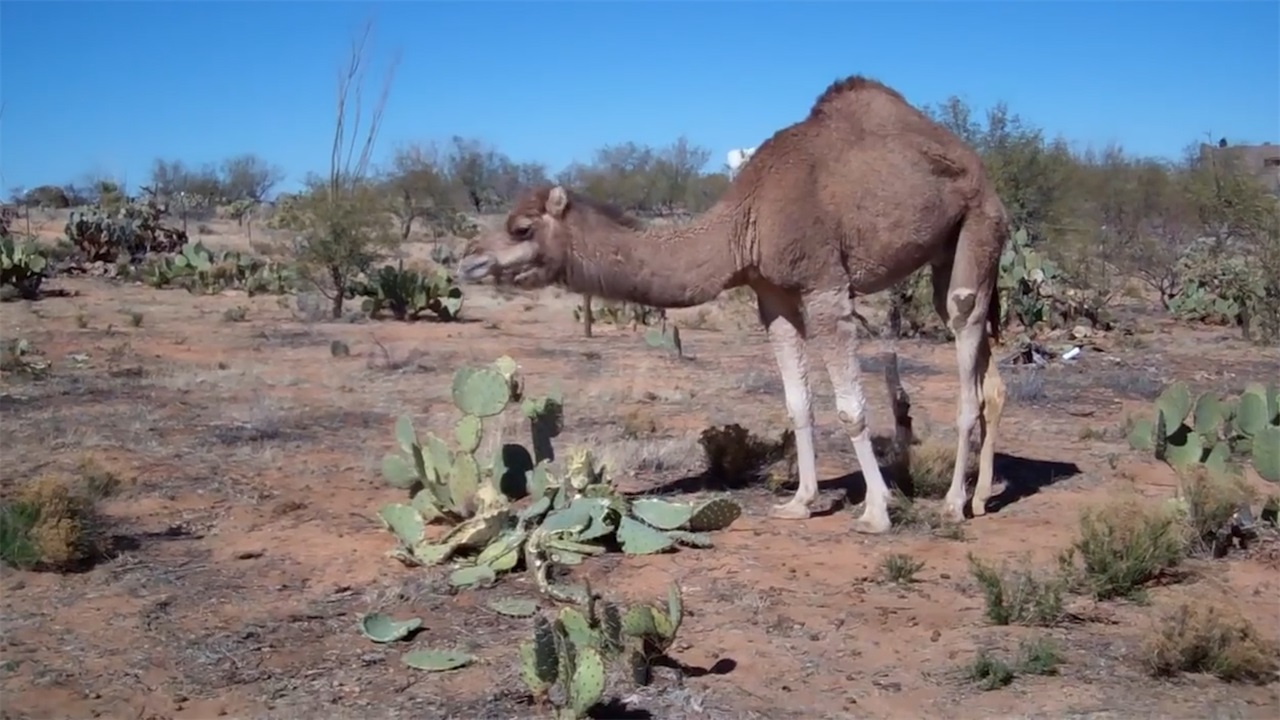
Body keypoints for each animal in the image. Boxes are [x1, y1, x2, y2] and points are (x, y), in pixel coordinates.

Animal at [460, 74, 1008, 532]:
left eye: (521, 228)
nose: (469, 261)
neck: (744, 221)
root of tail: (978, 166)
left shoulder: (825, 285)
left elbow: (850, 408)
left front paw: (876, 510)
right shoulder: (771, 293)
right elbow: (797, 403)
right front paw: (800, 501)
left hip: (980, 222)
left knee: (963, 328)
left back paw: (953, 504)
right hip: (947, 251)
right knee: (987, 369)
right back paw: (982, 498)